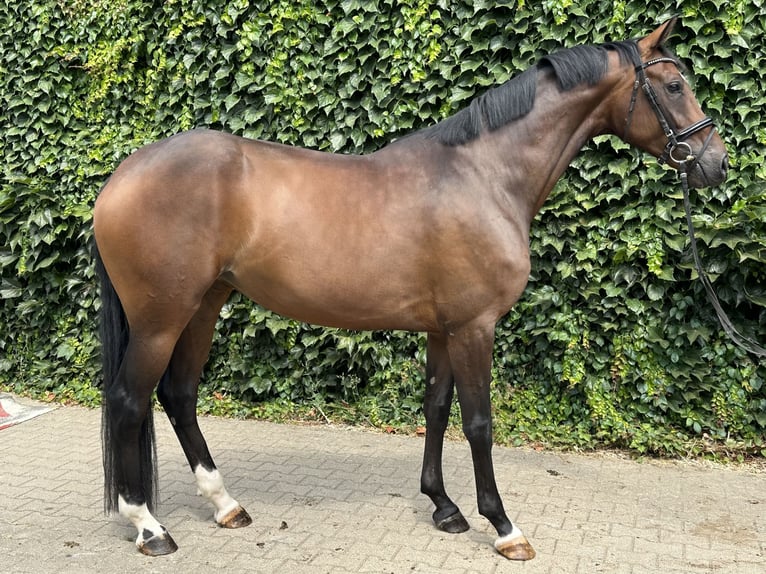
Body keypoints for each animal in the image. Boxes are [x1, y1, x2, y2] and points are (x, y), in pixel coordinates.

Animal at [93, 17, 727, 560]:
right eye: (674, 85)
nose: (715, 164)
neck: (483, 176)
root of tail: (123, 175)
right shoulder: (475, 327)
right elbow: (479, 423)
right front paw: (504, 527)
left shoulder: (444, 329)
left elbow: (437, 409)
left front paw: (444, 508)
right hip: (161, 318)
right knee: (129, 400)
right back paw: (149, 527)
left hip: (204, 306)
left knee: (179, 395)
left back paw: (225, 505)